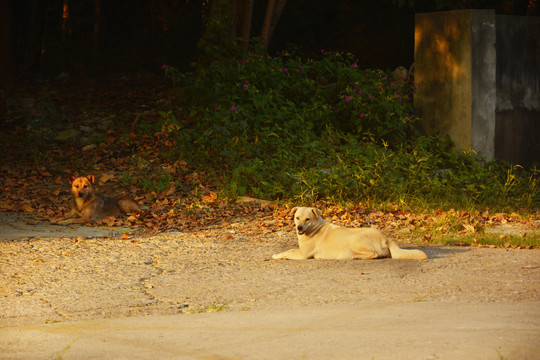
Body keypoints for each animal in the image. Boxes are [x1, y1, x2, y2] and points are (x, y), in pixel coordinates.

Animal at [274, 207, 426, 260]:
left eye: (307, 219)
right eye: (297, 217)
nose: (299, 228)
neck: (314, 228)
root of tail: (385, 237)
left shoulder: (303, 254)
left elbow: (288, 251)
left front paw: (276, 256)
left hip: (354, 240)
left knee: (374, 254)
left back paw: (355, 257)